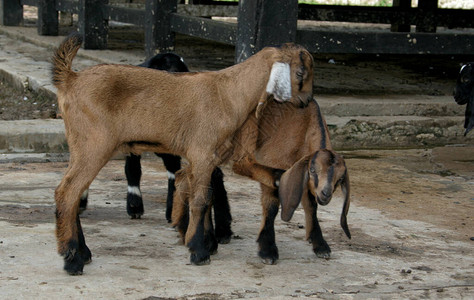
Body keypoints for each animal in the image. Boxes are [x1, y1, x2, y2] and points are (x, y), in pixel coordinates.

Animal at [51, 32, 314, 274]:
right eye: (301, 73)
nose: (307, 101)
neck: (228, 94)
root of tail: (70, 79)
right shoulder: (202, 153)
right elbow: (200, 200)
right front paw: (199, 251)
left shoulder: (209, 158)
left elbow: (207, 194)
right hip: (94, 145)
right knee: (68, 192)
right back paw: (72, 259)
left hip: (80, 146)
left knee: (71, 192)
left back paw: (82, 253)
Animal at [172, 97, 350, 264]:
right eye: (313, 170)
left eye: (340, 178)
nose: (326, 194)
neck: (306, 125)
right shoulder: (274, 160)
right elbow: (271, 205)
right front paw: (268, 250)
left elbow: (311, 205)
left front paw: (321, 246)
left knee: (188, 179)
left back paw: (189, 231)